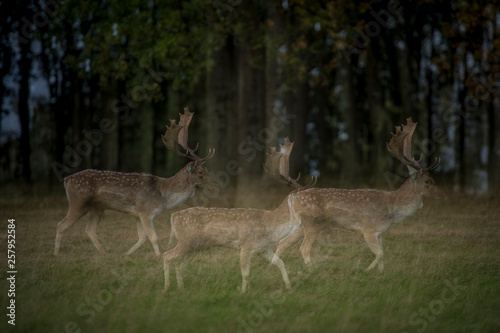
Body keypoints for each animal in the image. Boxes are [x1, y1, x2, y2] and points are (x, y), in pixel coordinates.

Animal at [54, 107, 215, 255]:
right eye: (201, 172)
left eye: (207, 170)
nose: (213, 184)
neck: (164, 195)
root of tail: (66, 180)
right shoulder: (145, 212)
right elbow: (153, 237)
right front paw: (159, 257)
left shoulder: (137, 214)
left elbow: (142, 237)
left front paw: (126, 254)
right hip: (78, 203)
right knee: (61, 225)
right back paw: (56, 254)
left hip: (97, 208)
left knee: (90, 229)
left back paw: (104, 253)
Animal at [162, 139, 314, 292]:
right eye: (304, 198)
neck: (270, 225)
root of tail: (173, 217)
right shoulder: (246, 245)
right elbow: (245, 272)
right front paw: (243, 292)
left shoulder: (264, 249)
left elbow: (279, 262)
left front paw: (289, 286)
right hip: (185, 241)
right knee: (166, 255)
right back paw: (166, 287)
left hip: (195, 246)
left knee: (179, 265)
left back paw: (181, 288)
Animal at [274, 118, 446, 272]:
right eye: (427, 181)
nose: (441, 194)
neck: (391, 207)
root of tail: (293, 197)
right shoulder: (369, 230)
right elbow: (379, 254)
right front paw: (366, 270)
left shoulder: (380, 233)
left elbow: (382, 255)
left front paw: (381, 273)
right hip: (311, 224)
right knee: (303, 248)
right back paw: (312, 270)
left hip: (300, 226)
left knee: (281, 243)